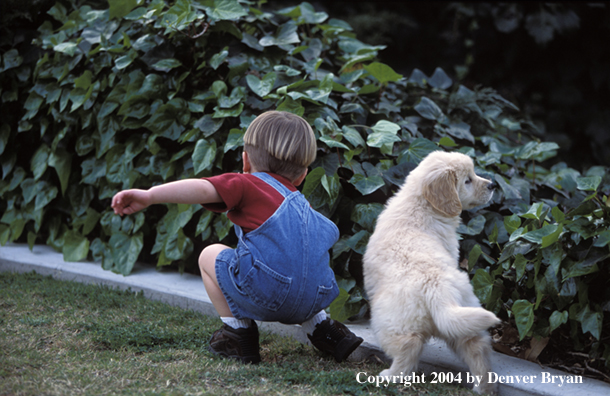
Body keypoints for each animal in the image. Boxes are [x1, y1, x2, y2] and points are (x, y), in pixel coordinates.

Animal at [360, 151, 498, 392]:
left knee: (409, 345)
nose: (492, 185)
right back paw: (484, 388)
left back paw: (389, 376)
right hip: (463, 315)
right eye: (468, 180)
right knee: (477, 347)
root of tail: (437, 287)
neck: (421, 205)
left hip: (389, 321)